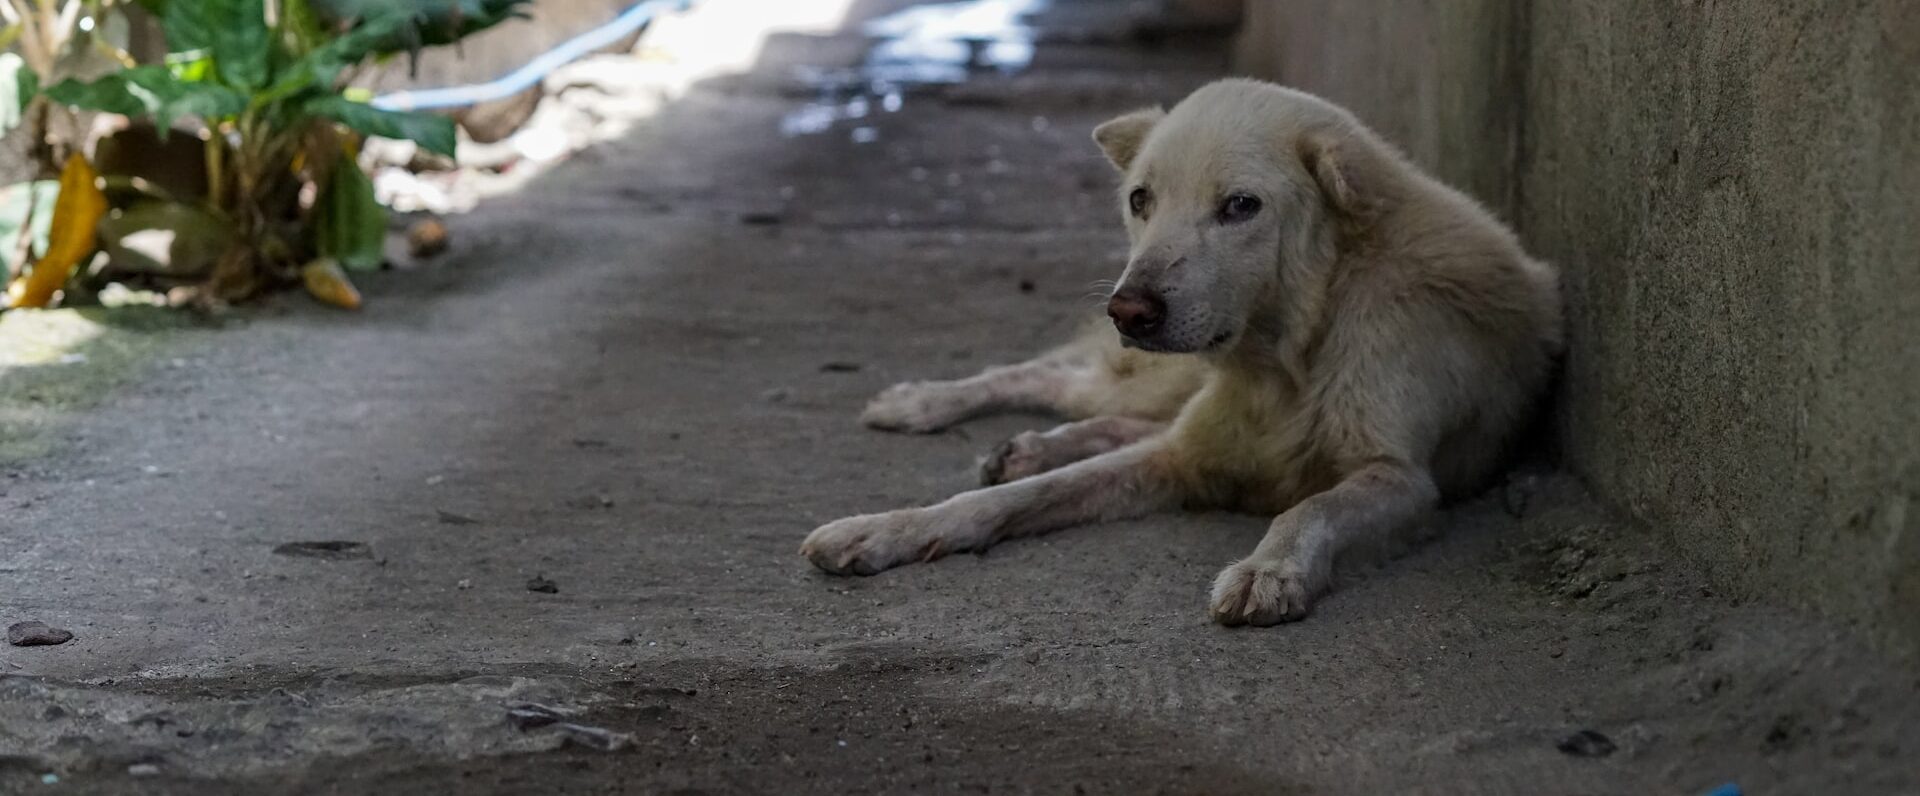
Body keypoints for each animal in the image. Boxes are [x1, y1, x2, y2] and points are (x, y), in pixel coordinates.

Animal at [794, 81, 1559, 629]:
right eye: (1141, 199)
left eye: (1241, 206)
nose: (1128, 310)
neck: (1291, 359)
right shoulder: (1180, 455)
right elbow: (1010, 499)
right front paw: (886, 529)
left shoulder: (1404, 481)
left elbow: (1309, 508)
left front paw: (1269, 571)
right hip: (1156, 377)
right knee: (1058, 380)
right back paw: (923, 404)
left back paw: (1027, 444)